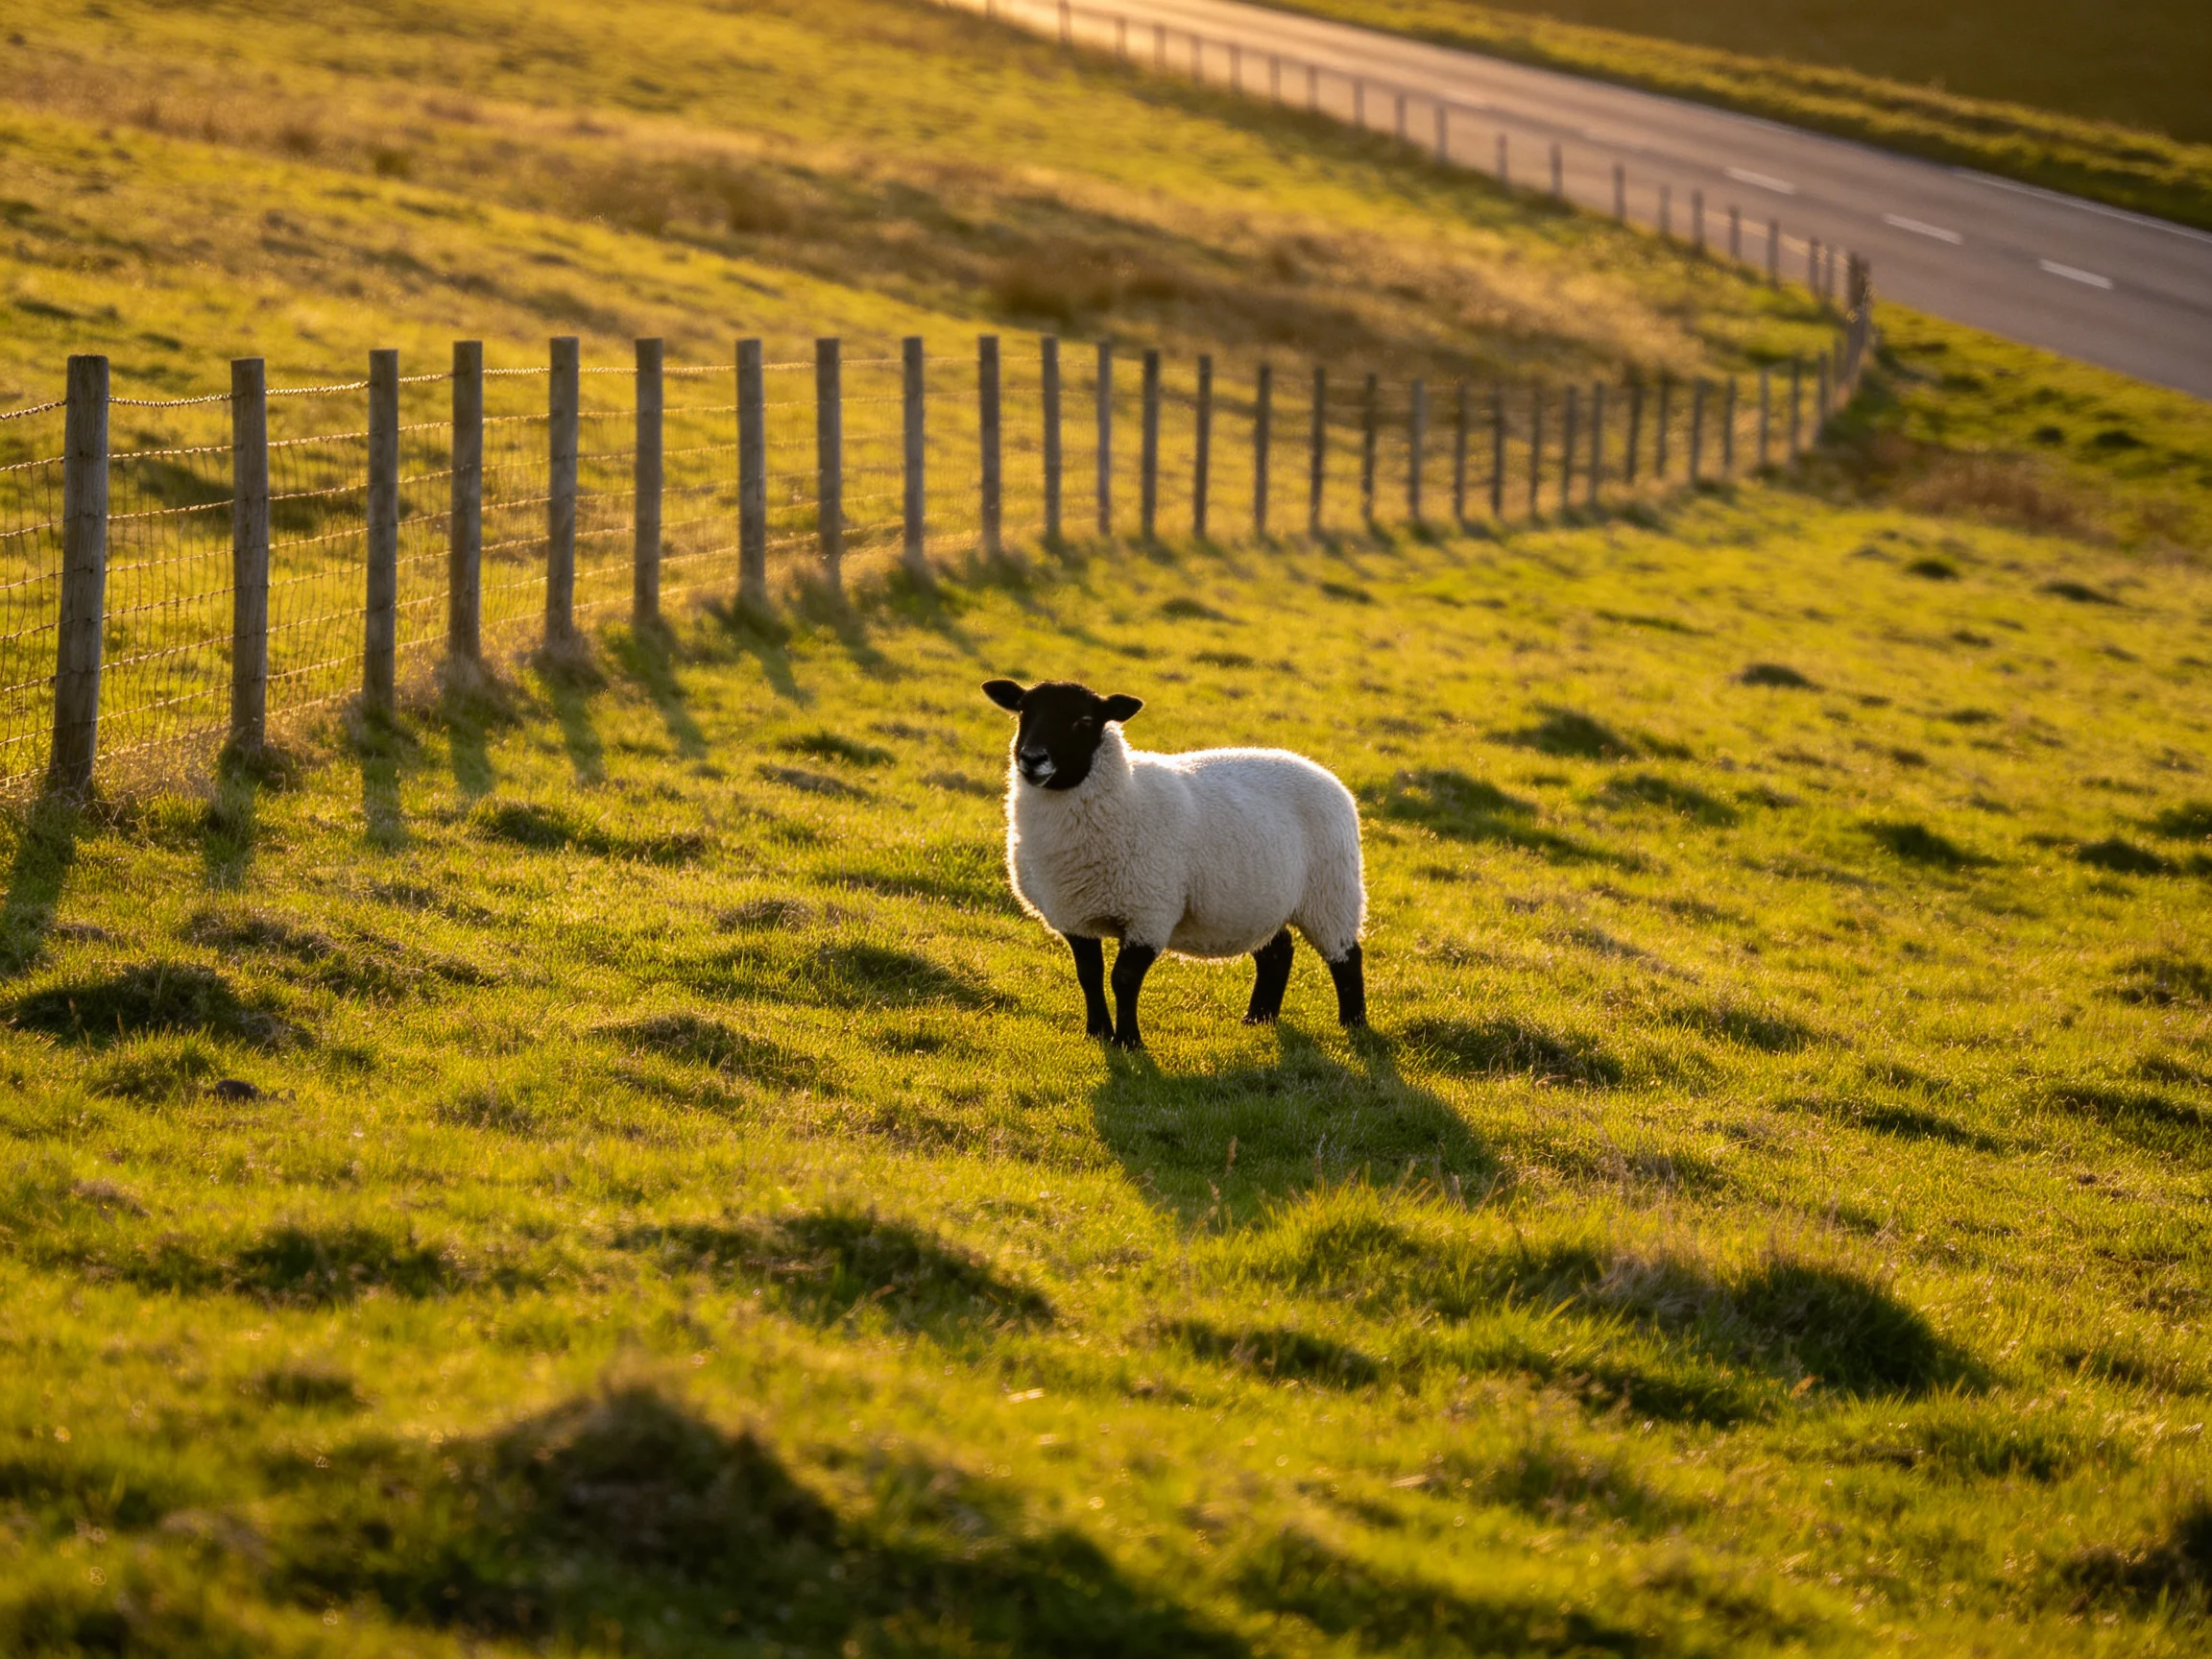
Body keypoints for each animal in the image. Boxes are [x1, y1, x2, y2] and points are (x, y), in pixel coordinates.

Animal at [982, 677, 1366, 1049]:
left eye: (1085, 721)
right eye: (1023, 711)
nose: (1032, 759)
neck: (1125, 796)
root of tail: (1320, 771)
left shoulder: (1149, 912)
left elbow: (1123, 979)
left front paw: (1129, 1041)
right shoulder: (1074, 914)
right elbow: (1089, 975)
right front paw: (1097, 1033)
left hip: (1331, 892)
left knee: (1346, 957)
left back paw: (1354, 1023)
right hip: (1255, 899)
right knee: (1277, 952)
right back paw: (1258, 1018)